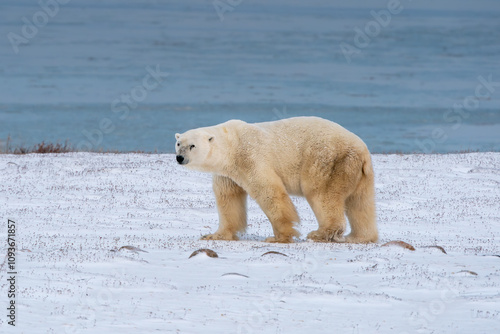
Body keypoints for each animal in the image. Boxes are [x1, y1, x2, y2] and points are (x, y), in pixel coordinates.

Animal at [174, 117, 376, 243]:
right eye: (178, 143)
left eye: (192, 145)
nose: (179, 158)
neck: (231, 145)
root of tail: (362, 150)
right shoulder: (227, 174)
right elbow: (229, 200)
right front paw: (214, 235)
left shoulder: (250, 157)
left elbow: (269, 192)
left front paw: (280, 236)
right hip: (358, 172)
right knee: (360, 203)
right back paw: (359, 236)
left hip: (328, 161)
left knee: (322, 195)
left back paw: (320, 233)